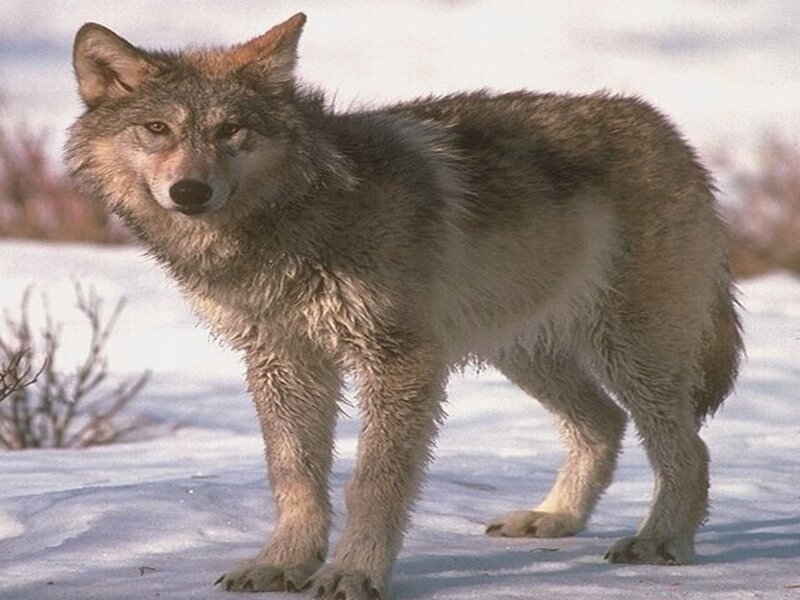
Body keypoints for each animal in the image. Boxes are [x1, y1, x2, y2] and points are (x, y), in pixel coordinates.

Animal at [67, 13, 742, 599]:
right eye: (158, 130)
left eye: (231, 130)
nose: (189, 191)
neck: (287, 225)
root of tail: (664, 127)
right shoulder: (282, 361)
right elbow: (293, 476)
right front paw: (282, 564)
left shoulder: (398, 358)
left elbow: (374, 483)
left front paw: (352, 575)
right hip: (525, 352)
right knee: (603, 424)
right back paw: (555, 518)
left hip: (630, 350)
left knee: (688, 448)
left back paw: (659, 541)